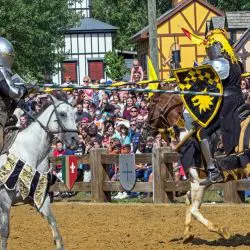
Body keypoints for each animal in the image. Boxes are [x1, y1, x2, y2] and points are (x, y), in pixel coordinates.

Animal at [0, 94, 78, 250]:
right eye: (62, 114)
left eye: (75, 114)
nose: (74, 140)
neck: (30, 152)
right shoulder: (4, 199)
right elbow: (5, 231)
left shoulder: (39, 197)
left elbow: (53, 222)